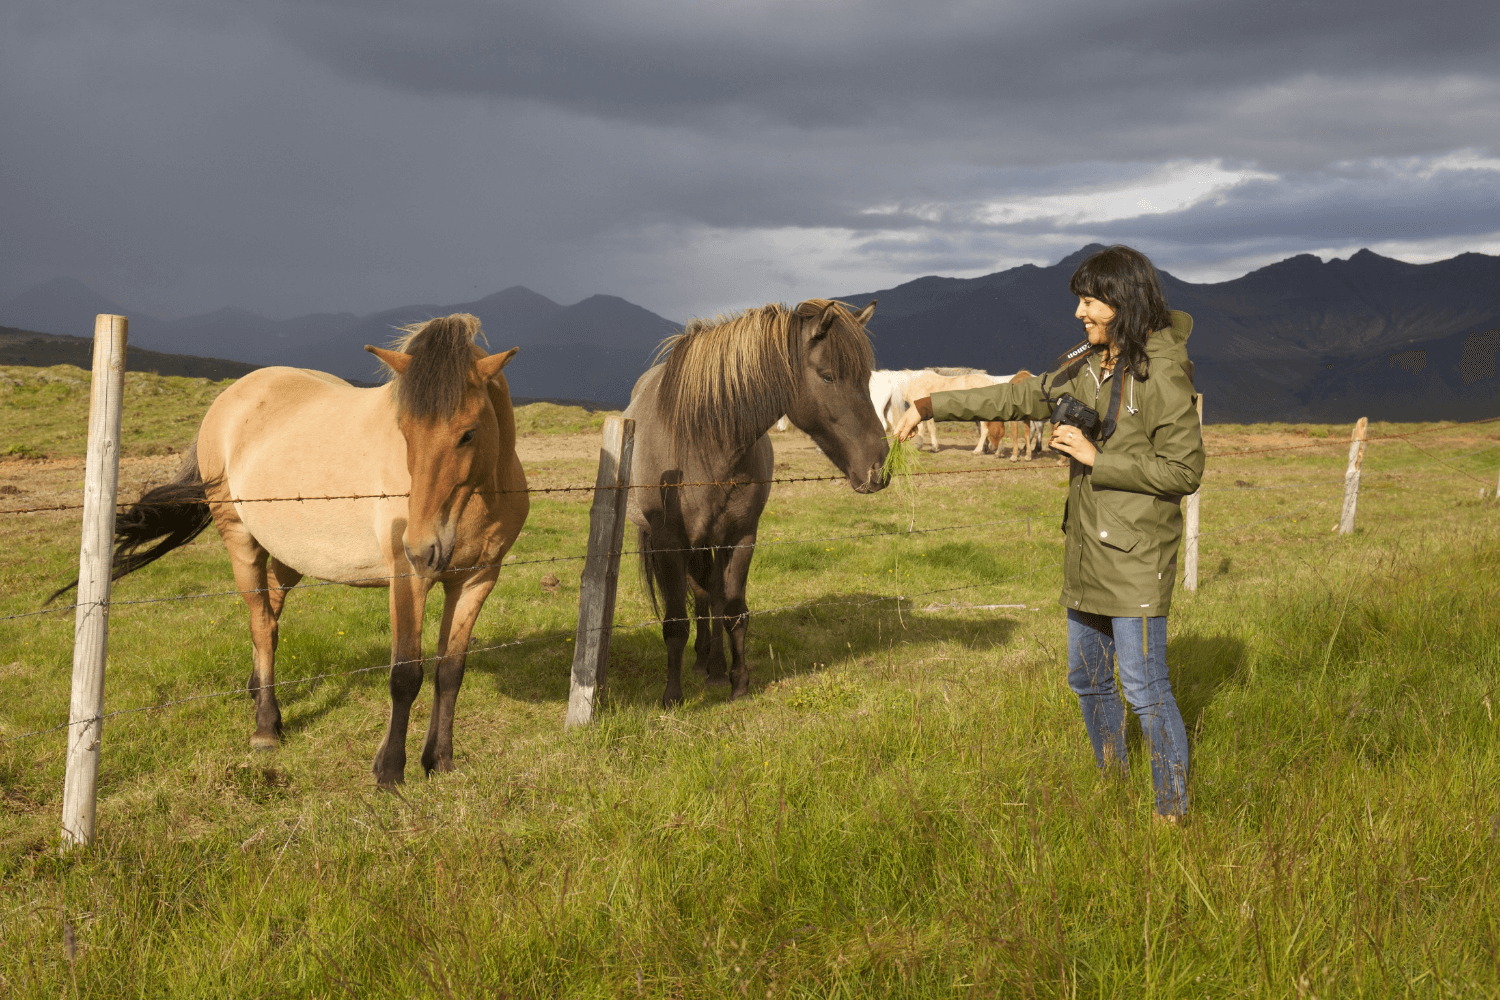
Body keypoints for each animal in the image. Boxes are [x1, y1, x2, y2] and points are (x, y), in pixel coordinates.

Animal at [52, 314, 531, 791]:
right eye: (405, 431)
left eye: (468, 433)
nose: (422, 547)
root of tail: (230, 398)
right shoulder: (408, 579)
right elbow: (405, 674)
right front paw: (390, 771)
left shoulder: (476, 580)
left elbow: (450, 672)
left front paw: (441, 761)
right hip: (241, 541)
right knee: (262, 624)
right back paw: (265, 726)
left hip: (287, 556)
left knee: (271, 615)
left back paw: (258, 694)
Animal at [624, 296, 888, 704]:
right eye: (827, 375)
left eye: (867, 379)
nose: (878, 464)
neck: (701, 443)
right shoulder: (670, 543)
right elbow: (675, 621)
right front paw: (672, 696)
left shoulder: (742, 537)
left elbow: (734, 611)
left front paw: (739, 682)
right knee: (700, 595)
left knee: (712, 596)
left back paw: (713, 667)